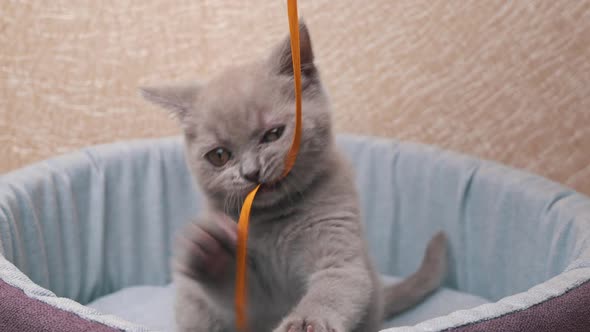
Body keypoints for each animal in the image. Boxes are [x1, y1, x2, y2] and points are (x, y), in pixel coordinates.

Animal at [143, 22, 448, 332]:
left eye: (273, 134)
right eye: (219, 156)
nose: (251, 172)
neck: (276, 218)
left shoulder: (340, 249)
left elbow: (334, 285)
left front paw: (305, 322)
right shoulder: (255, 302)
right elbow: (239, 296)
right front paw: (211, 254)